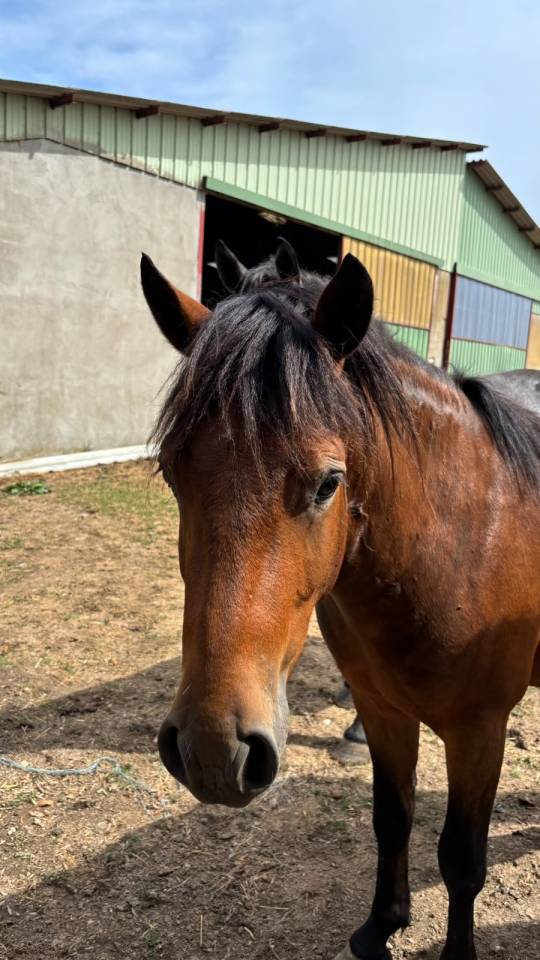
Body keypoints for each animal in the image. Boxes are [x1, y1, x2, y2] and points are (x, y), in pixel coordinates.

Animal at [140, 250, 540, 960]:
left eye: (330, 482)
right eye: (171, 474)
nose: (213, 751)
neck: (460, 544)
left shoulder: (480, 731)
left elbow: (463, 861)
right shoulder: (382, 710)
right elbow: (392, 819)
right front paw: (382, 922)